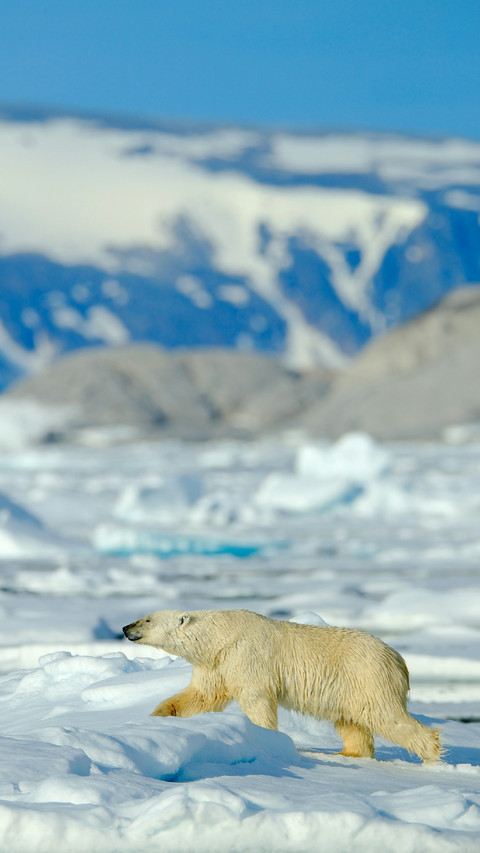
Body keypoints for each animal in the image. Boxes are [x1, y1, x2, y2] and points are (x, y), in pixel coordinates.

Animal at [123, 608, 441, 763]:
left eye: (147, 619)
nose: (126, 628)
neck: (220, 635)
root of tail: (399, 659)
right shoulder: (216, 663)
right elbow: (202, 695)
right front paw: (159, 716)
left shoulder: (246, 655)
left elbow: (256, 699)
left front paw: (264, 739)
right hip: (347, 687)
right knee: (350, 721)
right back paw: (346, 753)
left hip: (367, 677)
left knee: (386, 716)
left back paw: (432, 754)